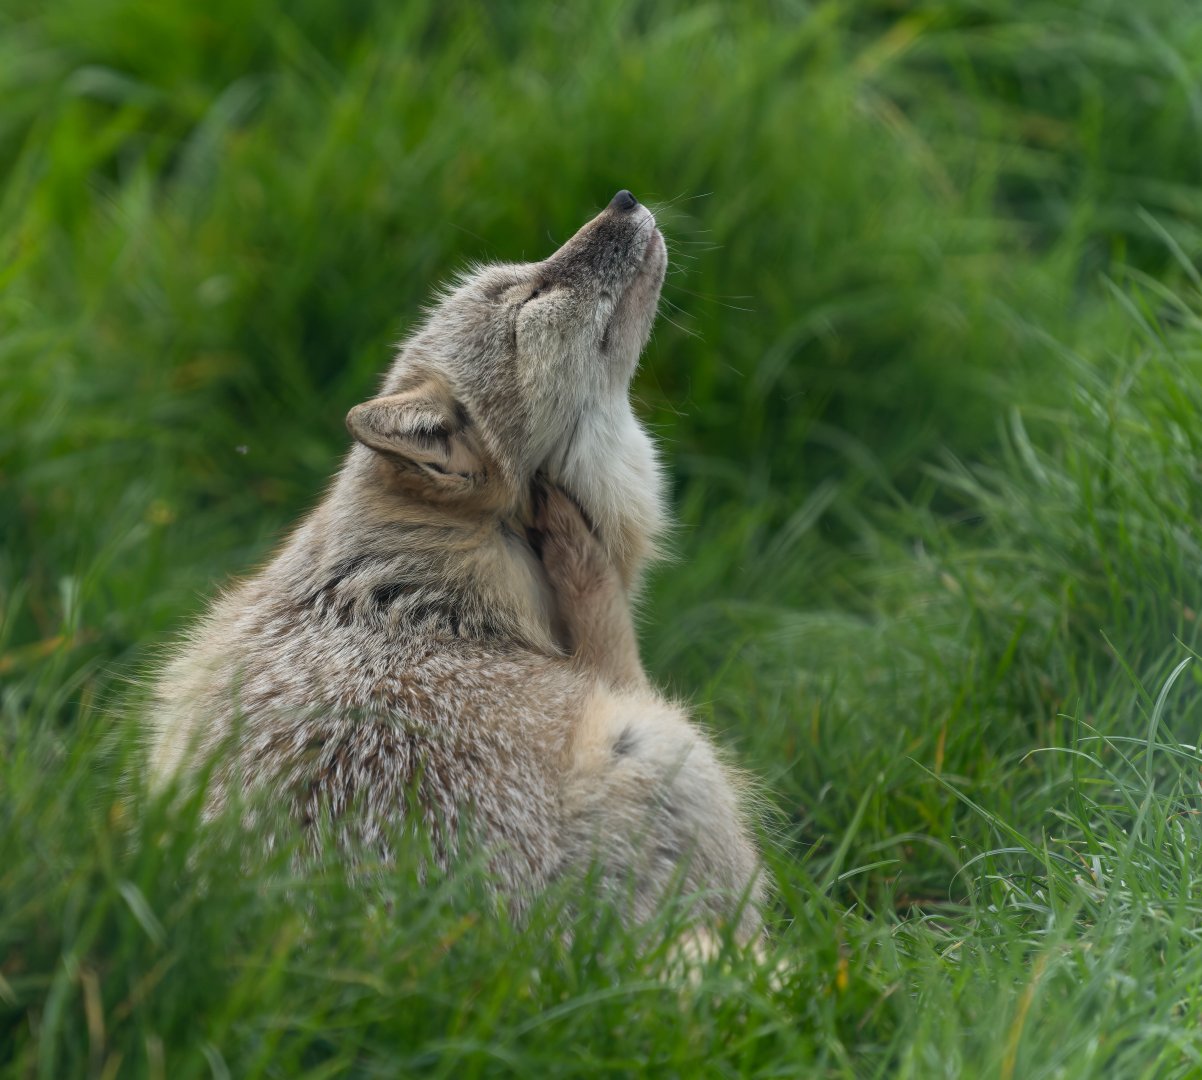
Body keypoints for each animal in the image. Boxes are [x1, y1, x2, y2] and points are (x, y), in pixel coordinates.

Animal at [149, 189, 764, 937]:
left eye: (526, 270)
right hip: (671, 748)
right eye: (530, 298)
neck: (445, 573)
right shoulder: (629, 684)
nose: (623, 201)